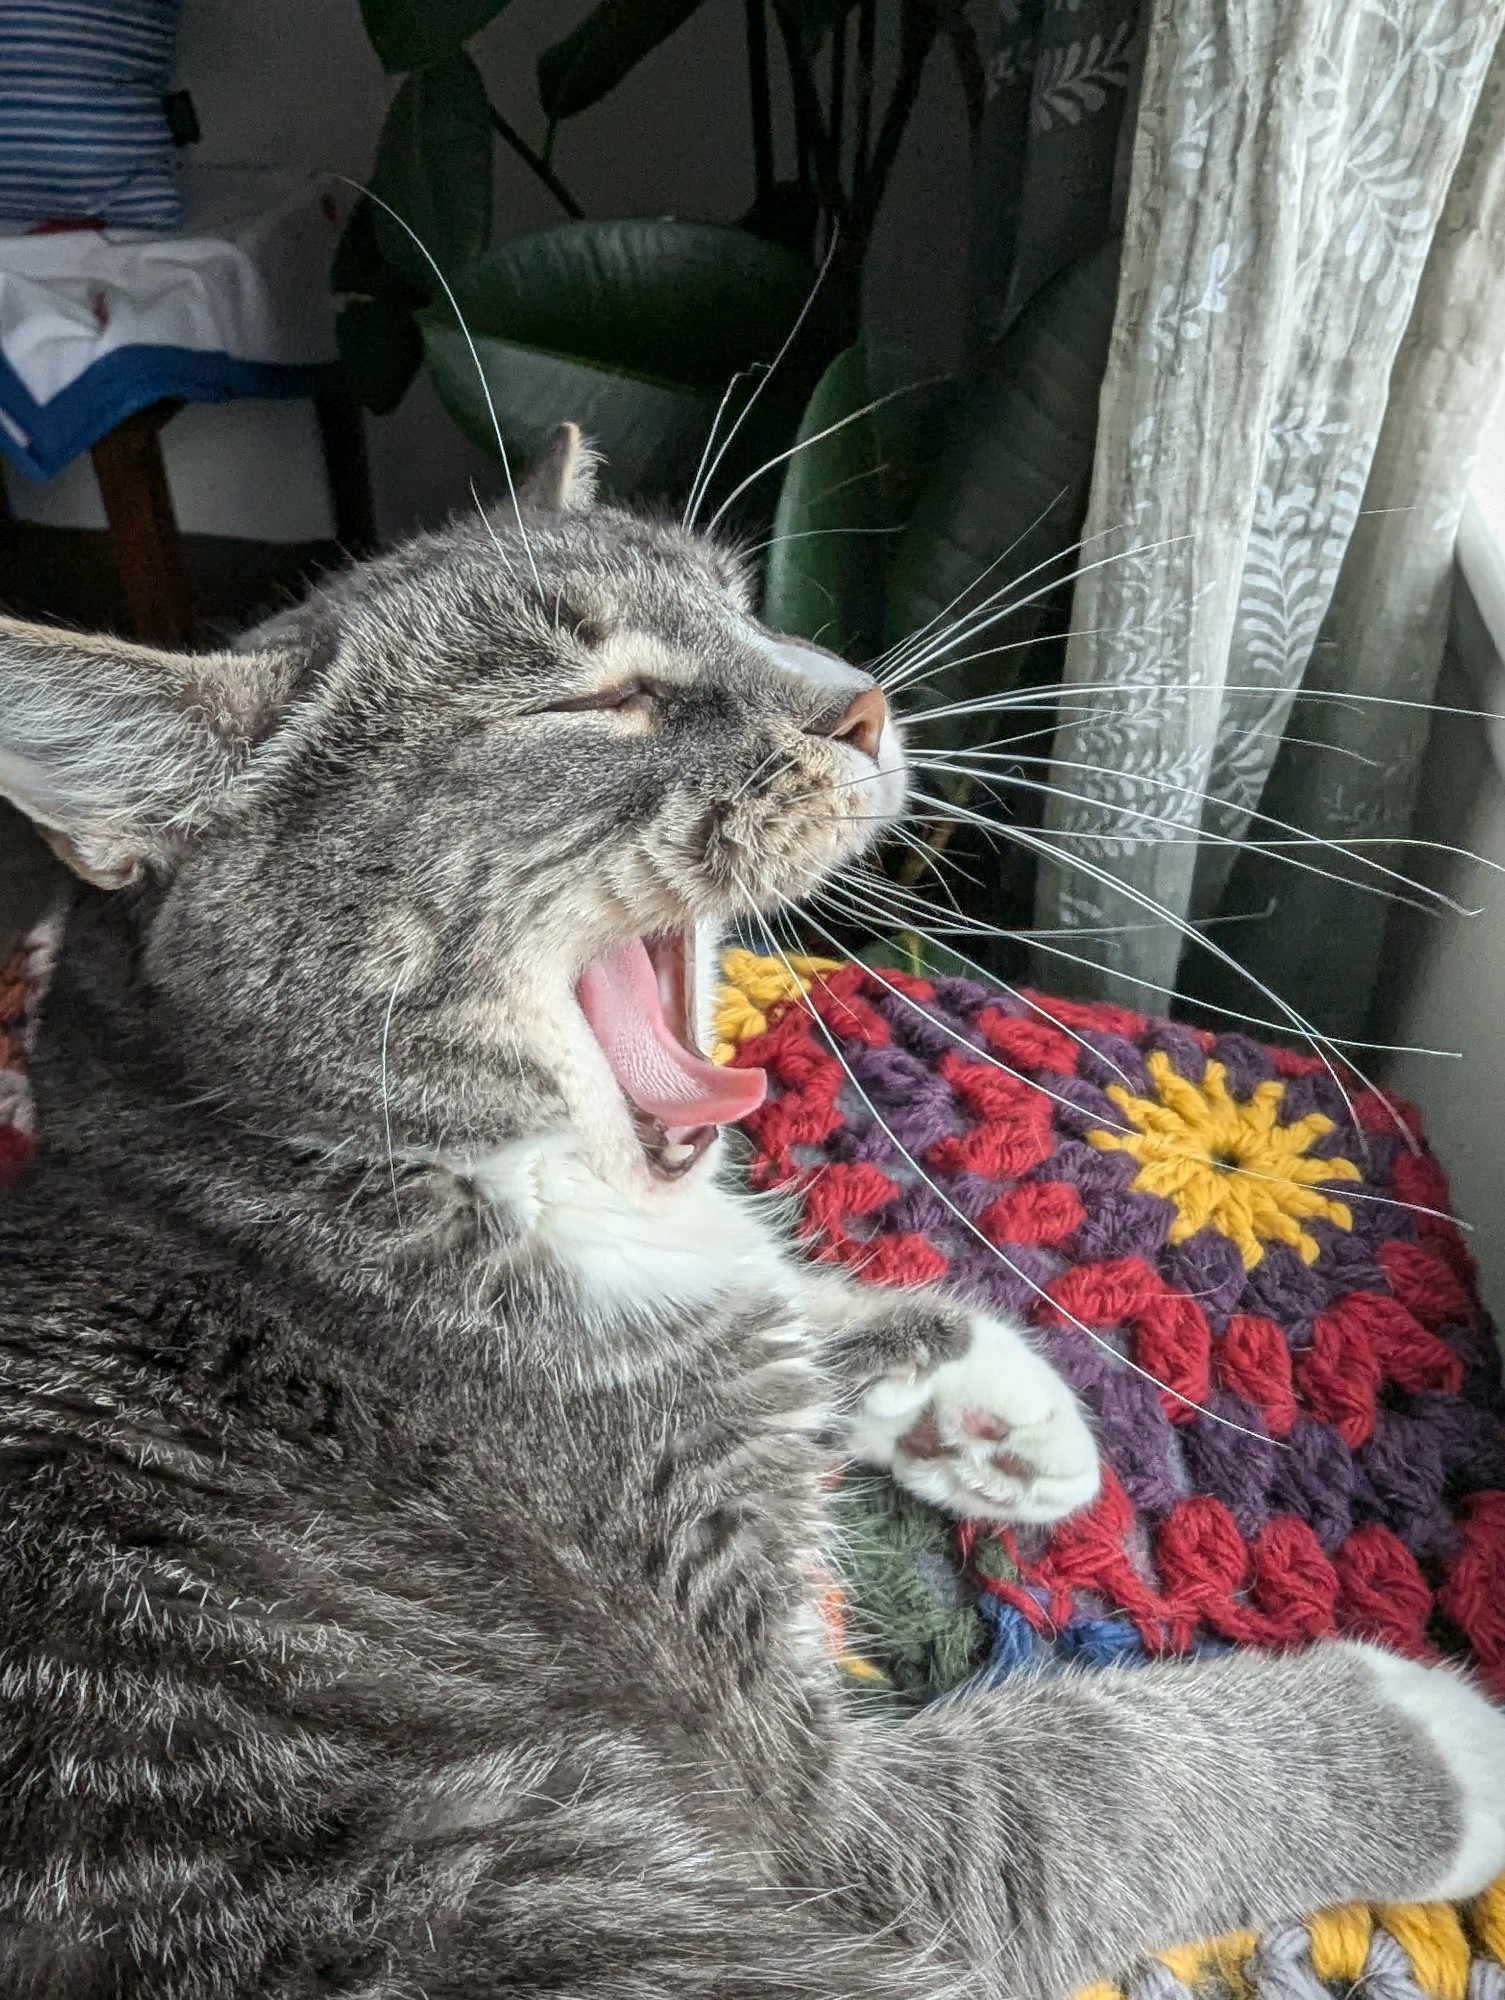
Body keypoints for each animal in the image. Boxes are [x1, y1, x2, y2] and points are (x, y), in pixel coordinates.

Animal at [0, 426, 1496, 2000]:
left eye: (744, 608)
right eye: (591, 699)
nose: (864, 698)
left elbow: (794, 1317)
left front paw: (997, 1413)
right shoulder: (817, 1822)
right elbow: (1078, 1795)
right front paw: (1430, 1739)